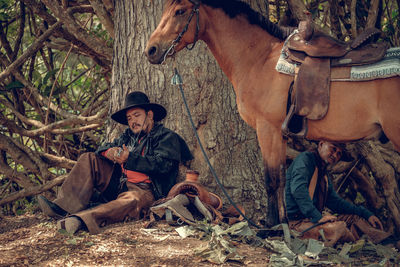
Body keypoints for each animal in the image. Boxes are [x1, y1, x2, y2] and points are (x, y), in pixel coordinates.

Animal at [145, 0, 400, 227]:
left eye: (180, 11)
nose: (151, 50)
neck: (259, 59)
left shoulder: (267, 129)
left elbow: (271, 179)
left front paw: (271, 226)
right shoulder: (279, 134)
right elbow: (280, 177)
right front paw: (282, 222)